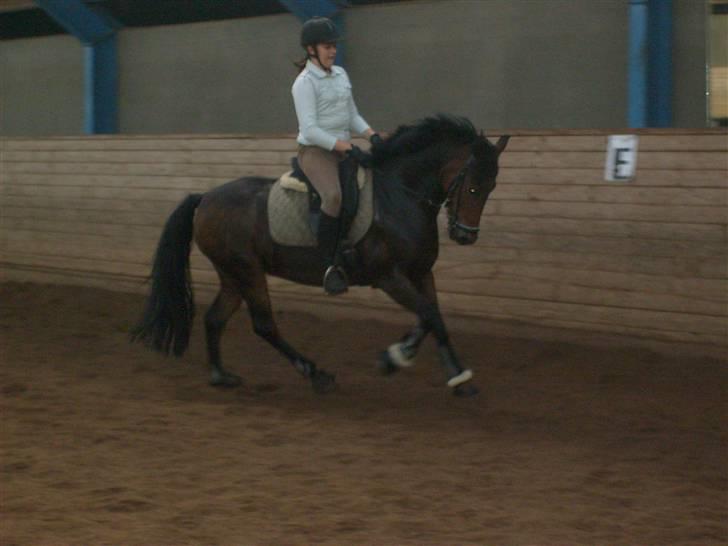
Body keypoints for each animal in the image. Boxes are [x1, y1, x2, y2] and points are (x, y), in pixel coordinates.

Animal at [131, 115, 509, 397]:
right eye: (472, 187)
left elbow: (434, 319)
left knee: (214, 319)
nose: (465, 235)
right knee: (264, 325)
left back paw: (221, 376)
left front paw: (451, 374)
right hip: (247, 271)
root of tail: (205, 198)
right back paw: (316, 374)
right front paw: (395, 358)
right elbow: (429, 315)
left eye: (490, 188)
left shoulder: (420, 272)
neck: (399, 196)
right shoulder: (389, 277)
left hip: (232, 275)